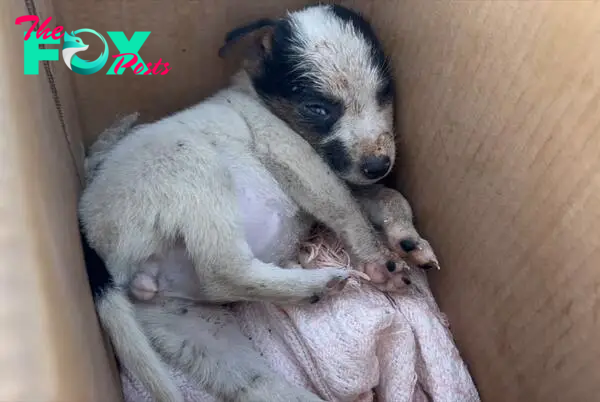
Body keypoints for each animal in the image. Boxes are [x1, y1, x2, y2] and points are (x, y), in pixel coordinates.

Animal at [79, 3, 436, 402]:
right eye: (318, 108)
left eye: (384, 93)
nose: (379, 166)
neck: (257, 99)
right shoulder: (295, 157)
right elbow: (347, 209)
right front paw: (379, 261)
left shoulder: (349, 177)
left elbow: (389, 197)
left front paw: (407, 238)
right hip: (192, 166)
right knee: (222, 271)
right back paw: (318, 284)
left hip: (189, 328)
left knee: (254, 383)